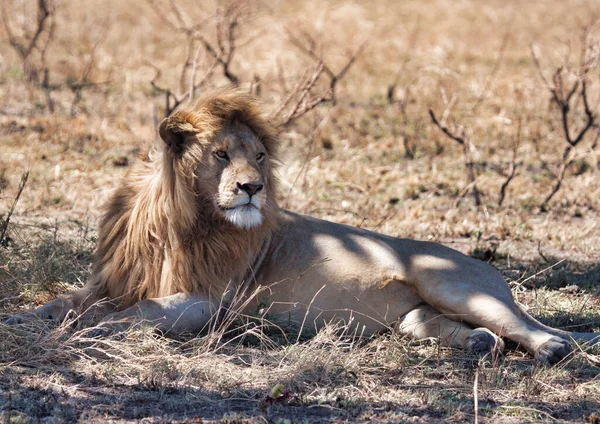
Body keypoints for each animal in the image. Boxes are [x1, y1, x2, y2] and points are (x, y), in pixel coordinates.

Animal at [5, 88, 600, 362]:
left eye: (260, 157)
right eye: (221, 154)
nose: (253, 188)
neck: (181, 222)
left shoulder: (208, 301)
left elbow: (135, 314)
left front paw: (87, 331)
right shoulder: (112, 280)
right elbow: (63, 302)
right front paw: (26, 320)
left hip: (450, 282)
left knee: (542, 331)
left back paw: (549, 349)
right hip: (417, 318)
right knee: (466, 332)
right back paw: (477, 345)